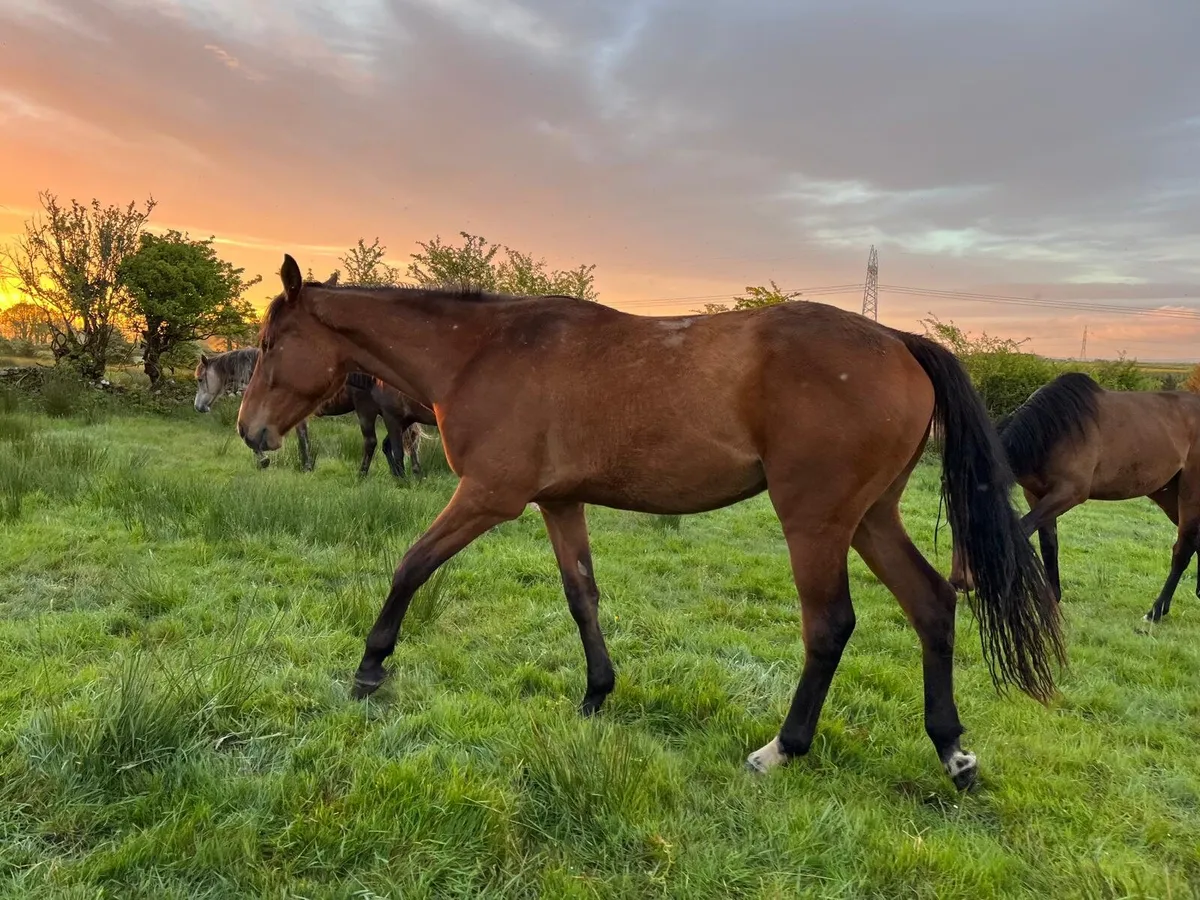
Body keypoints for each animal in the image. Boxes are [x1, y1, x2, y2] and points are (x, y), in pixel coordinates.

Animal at [236, 254, 1064, 791]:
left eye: (272, 344)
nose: (251, 431)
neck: (484, 352)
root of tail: (900, 343)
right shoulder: (558, 501)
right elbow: (583, 597)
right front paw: (597, 694)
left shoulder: (488, 495)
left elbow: (411, 563)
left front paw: (370, 668)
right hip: (870, 518)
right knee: (932, 604)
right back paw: (953, 752)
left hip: (818, 521)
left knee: (830, 626)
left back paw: (781, 750)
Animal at [949, 371, 1200, 623]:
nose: (958, 581)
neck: (1055, 430)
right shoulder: (1036, 495)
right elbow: (1049, 544)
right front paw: (1053, 598)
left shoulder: (1070, 493)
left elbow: (1023, 530)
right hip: (1167, 494)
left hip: (1189, 494)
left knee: (1183, 549)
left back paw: (1155, 612)